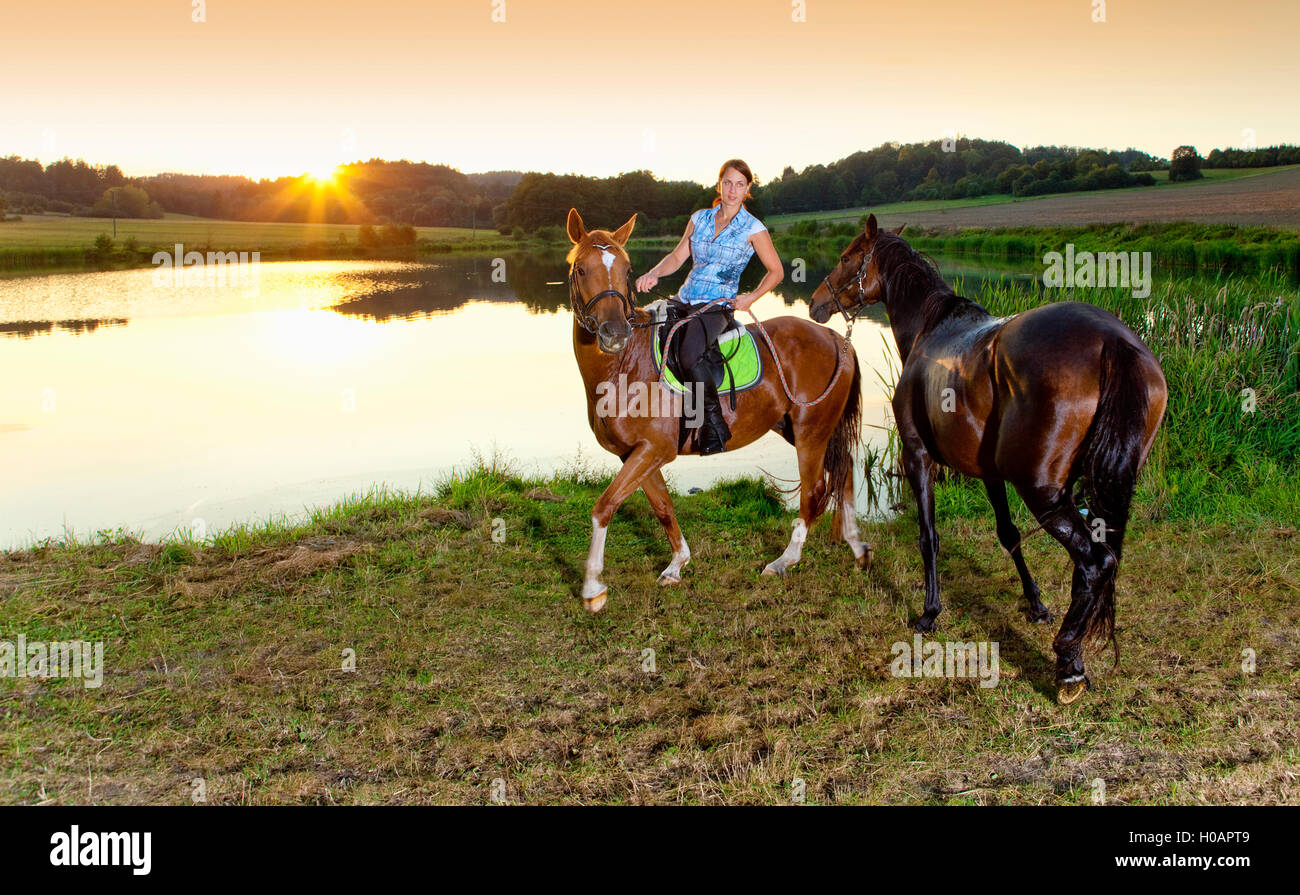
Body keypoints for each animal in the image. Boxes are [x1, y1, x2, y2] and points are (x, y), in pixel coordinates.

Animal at [564, 208, 868, 614]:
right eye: (581, 269)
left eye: (626, 270)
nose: (615, 333)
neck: (627, 364)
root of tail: (835, 338)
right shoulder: (637, 454)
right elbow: (663, 507)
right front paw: (677, 565)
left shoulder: (653, 450)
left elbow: (604, 506)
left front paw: (593, 588)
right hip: (802, 427)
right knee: (844, 469)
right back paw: (857, 547)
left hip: (811, 433)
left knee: (815, 489)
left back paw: (784, 561)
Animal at [811, 213, 1170, 702]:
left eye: (848, 256)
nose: (816, 302)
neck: (930, 327)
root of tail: (1112, 341)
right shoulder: (990, 473)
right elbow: (1009, 535)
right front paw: (1035, 604)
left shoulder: (918, 457)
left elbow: (929, 536)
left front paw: (929, 612)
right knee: (1094, 562)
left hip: (1043, 491)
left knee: (1094, 562)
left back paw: (1069, 663)